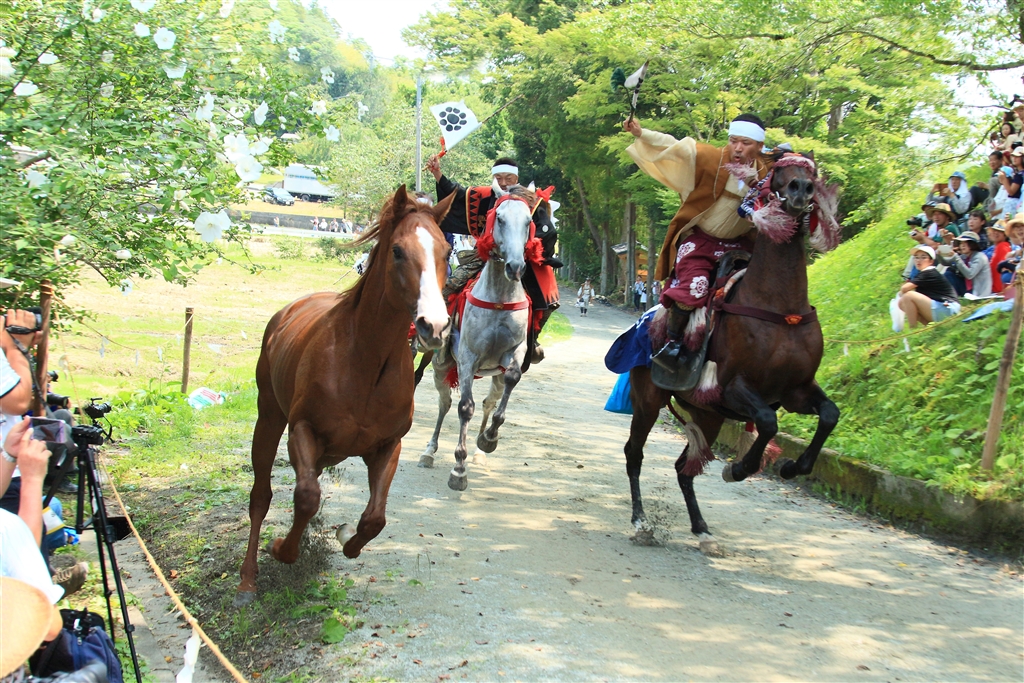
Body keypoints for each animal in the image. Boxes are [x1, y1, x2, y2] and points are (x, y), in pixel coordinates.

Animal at [234, 185, 455, 606]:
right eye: (398, 251)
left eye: (446, 251)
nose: (434, 326)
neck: (364, 362)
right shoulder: (303, 430)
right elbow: (306, 496)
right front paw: (281, 549)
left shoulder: (386, 446)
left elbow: (374, 519)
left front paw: (346, 539)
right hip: (268, 419)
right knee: (261, 496)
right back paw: (248, 579)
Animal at [418, 182, 541, 491]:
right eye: (500, 219)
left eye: (528, 221)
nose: (515, 266)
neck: (499, 297)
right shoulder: (467, 357)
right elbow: (465, 407)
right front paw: (458, 469)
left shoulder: (514, 352)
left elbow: (508, 385)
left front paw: (488, 439)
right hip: (442, 365)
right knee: (444, 404)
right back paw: (429, 451)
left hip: (493, 375)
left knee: (489, 401)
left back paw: (479, 449)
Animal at [624, 154, 841, 552]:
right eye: (777, 174)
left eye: (811, 171)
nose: (799, 190)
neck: (779, 308)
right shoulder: (732, 387)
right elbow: (768, 422)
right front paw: (738, 468)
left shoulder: (796, 390)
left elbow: (829, 415)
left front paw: (793, 467)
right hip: (648, 398)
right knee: (635, 453)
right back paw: (640, 521)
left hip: (706, 414)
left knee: (684, 468)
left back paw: (702, 528)